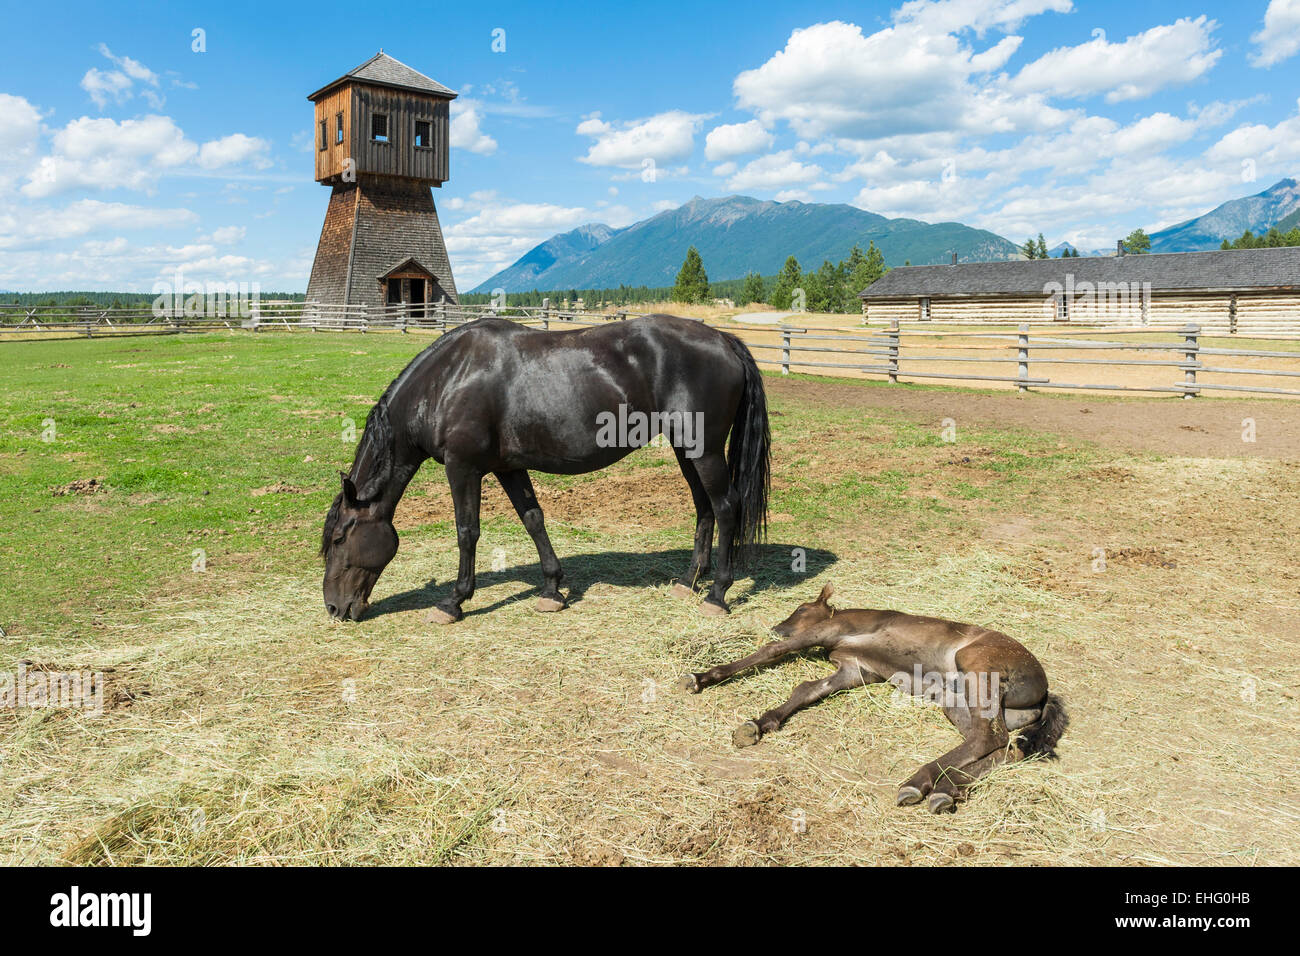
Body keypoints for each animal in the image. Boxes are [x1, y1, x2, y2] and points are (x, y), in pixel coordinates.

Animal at [323, 314, 764, 624]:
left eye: (340, 539)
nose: (333, 608)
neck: (448, 380)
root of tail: (724, 339)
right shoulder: (507, 468)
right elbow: (533, 519)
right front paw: (552, 589)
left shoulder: (463, 467)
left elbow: (467, 532)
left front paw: (454, 601)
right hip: (685, 449)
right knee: (704, 508)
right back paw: (689, 583)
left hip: (705, 450)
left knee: (726, 507)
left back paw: (717, 595)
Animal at [681, 582, 1066, 816]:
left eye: (801, 608)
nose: (777, 626)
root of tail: (1044, 691)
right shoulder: (856, 670)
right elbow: (807, 689)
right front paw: (758, 724)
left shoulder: (832, 630)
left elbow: (772, 652)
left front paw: (700, 677)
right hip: (958, 701)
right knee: (1002, 747)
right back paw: (945, 791)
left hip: (977, 671)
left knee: (990, 738)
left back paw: (918, 782)